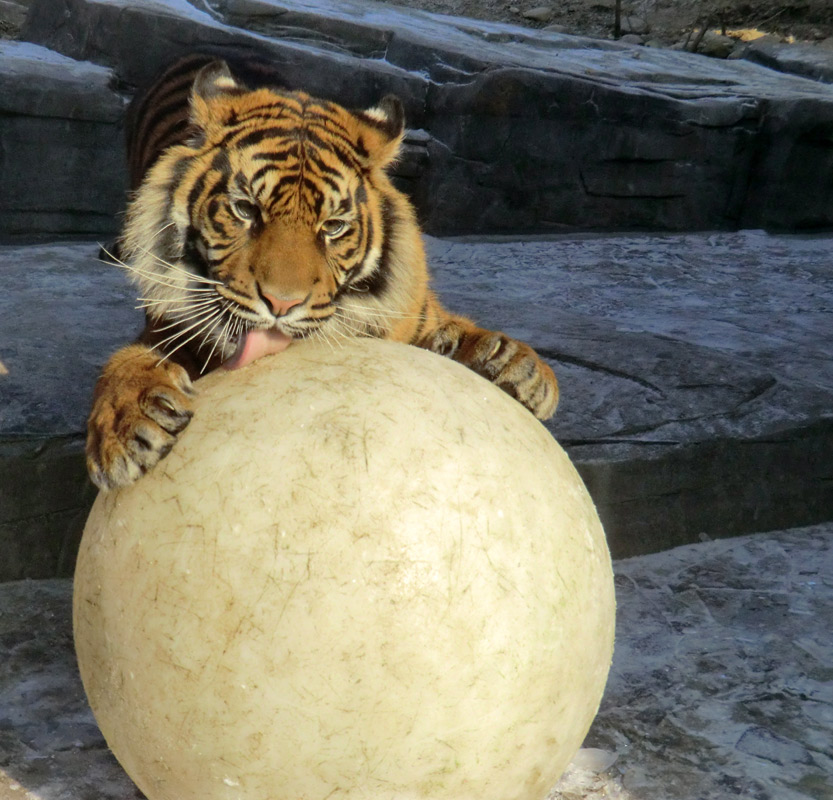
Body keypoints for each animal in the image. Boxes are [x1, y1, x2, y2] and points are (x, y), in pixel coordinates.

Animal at [86, 53, 560, 490]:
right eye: (246, 210)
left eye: (332, 227)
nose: (281, 304)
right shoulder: (168, 327)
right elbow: (133, 358)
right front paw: (129, 423)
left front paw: (514, 365)